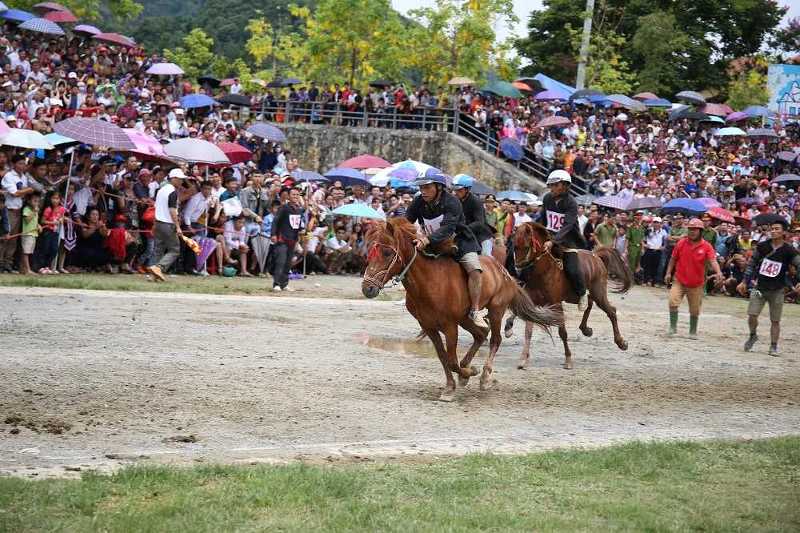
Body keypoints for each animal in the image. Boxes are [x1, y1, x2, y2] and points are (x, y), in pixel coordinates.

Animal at [362, 219, 564, 400]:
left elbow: (451, 360)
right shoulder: (428, 326)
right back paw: (467, 369)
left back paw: (484, 377)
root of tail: (505, 272)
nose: (367, 288)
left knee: (495, 339)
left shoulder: (450, 326)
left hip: (496, 310)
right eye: (369, 251)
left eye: (387, 252)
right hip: (465, 317)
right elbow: (443, 357)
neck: (429, 282)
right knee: (481, 334)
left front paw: (467, 375)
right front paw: (453, 384)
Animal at [506, 222, 632, 368]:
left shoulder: (556, 305)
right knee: (589, 304)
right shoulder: (532, 303)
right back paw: (586, 329)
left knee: (611, 312)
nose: (518, 271)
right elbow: (527, 331)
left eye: (526, 247)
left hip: (598, 293)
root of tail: (596, 256)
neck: (544, 272)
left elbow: (562, 333)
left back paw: (621, 343)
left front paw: (568, 359)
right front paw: (523, 358)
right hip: (580, 295)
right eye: (515, 247)